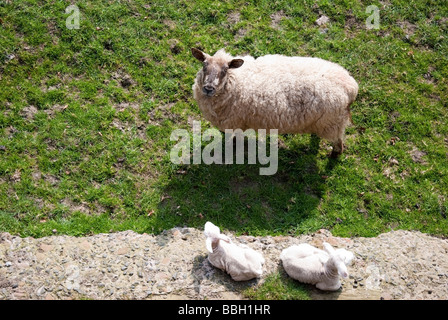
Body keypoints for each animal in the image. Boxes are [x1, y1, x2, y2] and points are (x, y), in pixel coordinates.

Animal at [191, 48, 358, 157]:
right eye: (204, 66)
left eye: (225, 70)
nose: (208, 88)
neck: (237, 81)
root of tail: (350, 86)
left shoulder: (236, 122)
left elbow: (235, 137)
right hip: (325, 121)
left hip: (332, 122)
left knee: (338, 141)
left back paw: (335, 154)